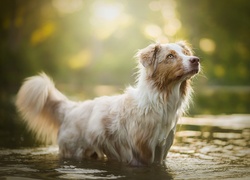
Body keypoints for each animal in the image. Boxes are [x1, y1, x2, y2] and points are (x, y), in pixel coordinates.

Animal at [15, 41, 199, 166]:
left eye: (185, 53)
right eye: (170, 56)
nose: (196, 60)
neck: (161, 101)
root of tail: (71, 108)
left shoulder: (161, 153)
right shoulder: (141, 155)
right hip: (73, 152)